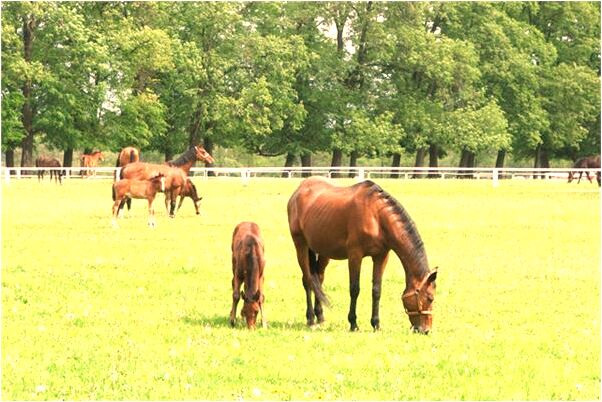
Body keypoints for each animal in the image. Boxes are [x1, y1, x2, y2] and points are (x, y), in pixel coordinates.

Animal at [286, 177, 436, 334]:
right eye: (430, 298)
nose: (426, 330)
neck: (376, 216)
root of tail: (299, 190)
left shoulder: (381, 256)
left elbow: (376, 290)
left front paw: (376, 324)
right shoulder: (355, 255)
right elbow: (354, 289)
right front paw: (353, 323)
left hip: (322, 251)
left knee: (319, 280)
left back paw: (320, 316)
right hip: (301, 245)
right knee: (308, 280)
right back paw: (310, 319)